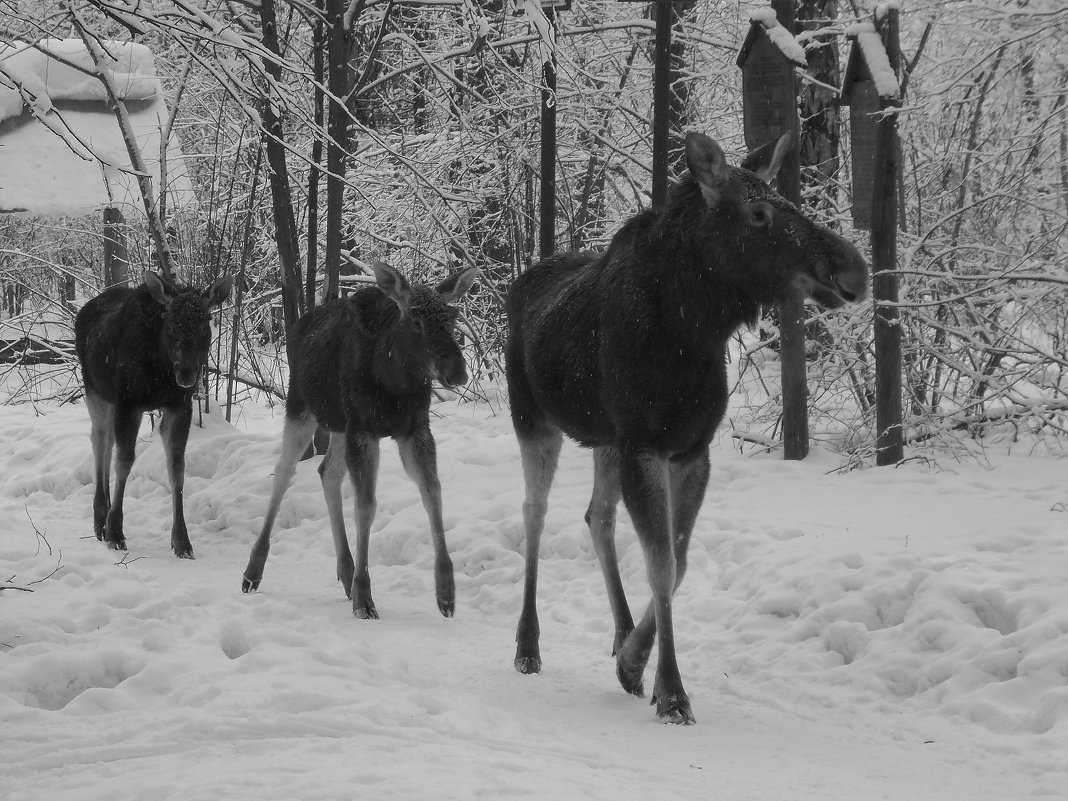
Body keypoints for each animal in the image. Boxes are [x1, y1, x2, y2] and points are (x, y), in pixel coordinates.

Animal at [75, 270, 233, 559]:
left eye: (206, 322)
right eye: (169, 323)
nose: (186, 373)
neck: (160, 368)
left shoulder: (180, 405)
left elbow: (177, 467)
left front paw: (182, 541)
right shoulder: (129, 402)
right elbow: (124, 461)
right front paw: (116, 532)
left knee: (106, 441)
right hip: (95, 390)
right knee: (99, 440)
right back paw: (100, 518)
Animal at [244, 263, 478, 619]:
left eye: (452, 316)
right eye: (416, 319)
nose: (457, 372)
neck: (394, 383)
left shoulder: (414, 429)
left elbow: (433, 493)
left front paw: (446, 592)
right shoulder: (364, 430)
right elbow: (366, 505)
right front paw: (365, 598)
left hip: (340, 426)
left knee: (327, 472)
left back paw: (346, 571)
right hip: (301, 406)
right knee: (284, 472)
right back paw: (253, 570)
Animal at [506, 128, 867, 726]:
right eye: (760, 212)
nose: (853, 270)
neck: (692, 331)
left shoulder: (690, 449)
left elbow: (677, 565)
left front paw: (635, 663)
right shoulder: (647, 445)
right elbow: (662, 564)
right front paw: (672, 691)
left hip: (605, 441)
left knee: (597, 516)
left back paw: (621, 633)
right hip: (534, 421)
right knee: (535, 514)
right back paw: (527, 645)